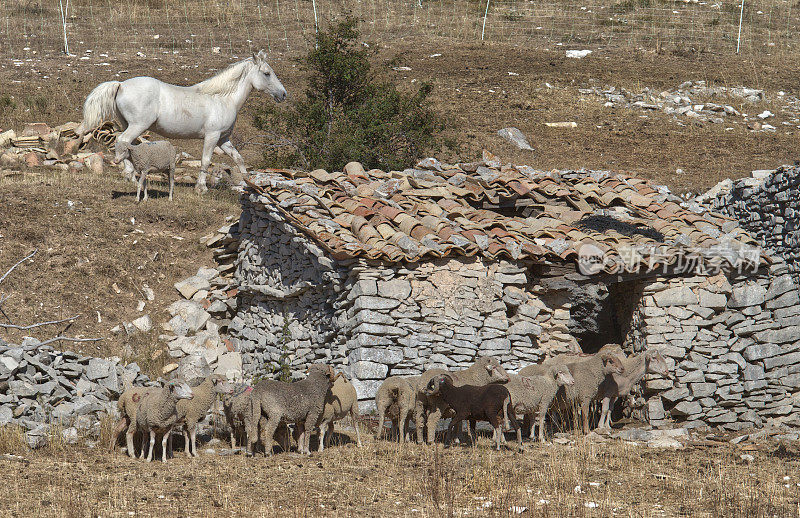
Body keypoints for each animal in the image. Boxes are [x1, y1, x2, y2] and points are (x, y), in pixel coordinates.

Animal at [76, 50, 288, 194]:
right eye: (267, 73)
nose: (283, 94)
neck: (222, 99)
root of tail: (120, 84)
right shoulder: (212, 137)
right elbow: (206, 160)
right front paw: (201, 188)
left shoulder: (223, 139)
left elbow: (238, 159)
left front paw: (246, 183)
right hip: (137, 126)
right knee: (122, 141)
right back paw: (131, 178)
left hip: (130, 125)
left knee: (127, 145)